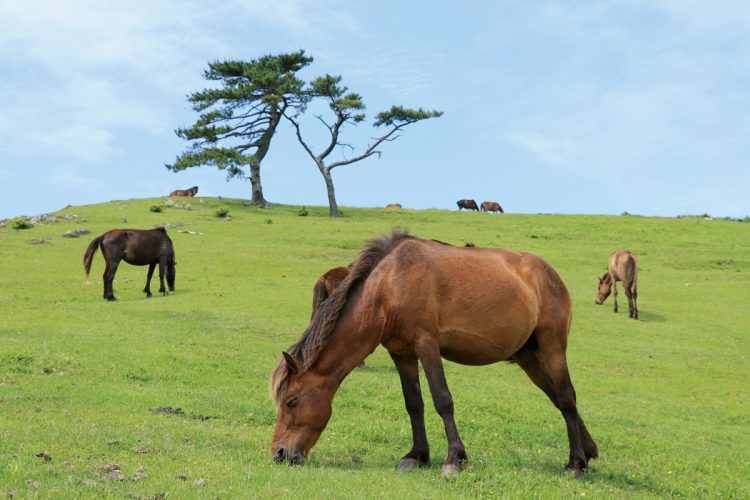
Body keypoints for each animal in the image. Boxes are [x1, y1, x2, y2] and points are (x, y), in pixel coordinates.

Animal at [270, 230, 600, 476]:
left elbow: (442, 399)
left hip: (553, 346)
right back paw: (588, 451)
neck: (389, 287)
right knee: (560, 398)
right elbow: (414, 403)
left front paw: (455, 458)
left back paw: (575, 463)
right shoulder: (401, 353)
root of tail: (549, 273)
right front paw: (417, 456)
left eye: (291, 401)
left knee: (566, 397)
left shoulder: (427, 344)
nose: (279, 454)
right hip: (528, 356)